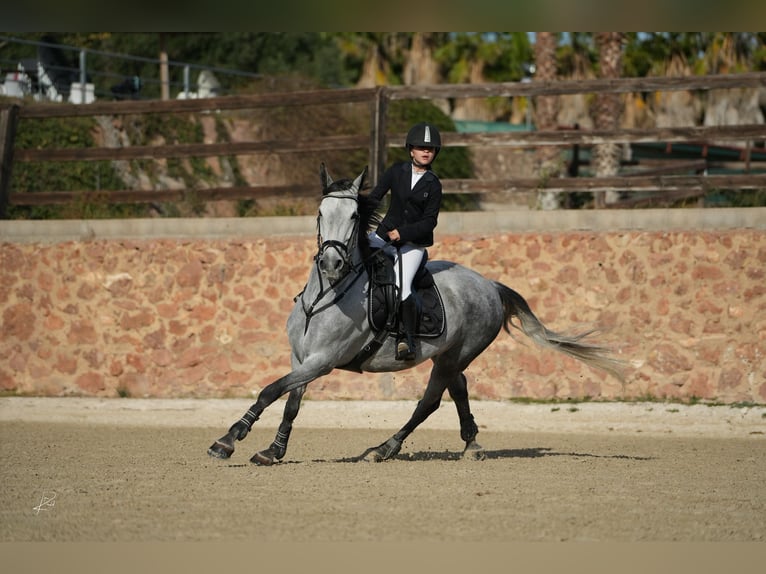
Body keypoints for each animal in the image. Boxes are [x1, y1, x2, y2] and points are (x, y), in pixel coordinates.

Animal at [208, 164, 624, 464]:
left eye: (355, 216)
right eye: (321, 212)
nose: (331, 263)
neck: (326, 294)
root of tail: (489, 285)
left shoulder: (322, 361)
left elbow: (270, 390)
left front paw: (228, 440)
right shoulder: (302, 359)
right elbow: (291, 401)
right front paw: (273, 450)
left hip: (457, 353)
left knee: (430, 402)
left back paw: (383, 448)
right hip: (450, 356)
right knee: (458, 390)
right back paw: (470, 445)